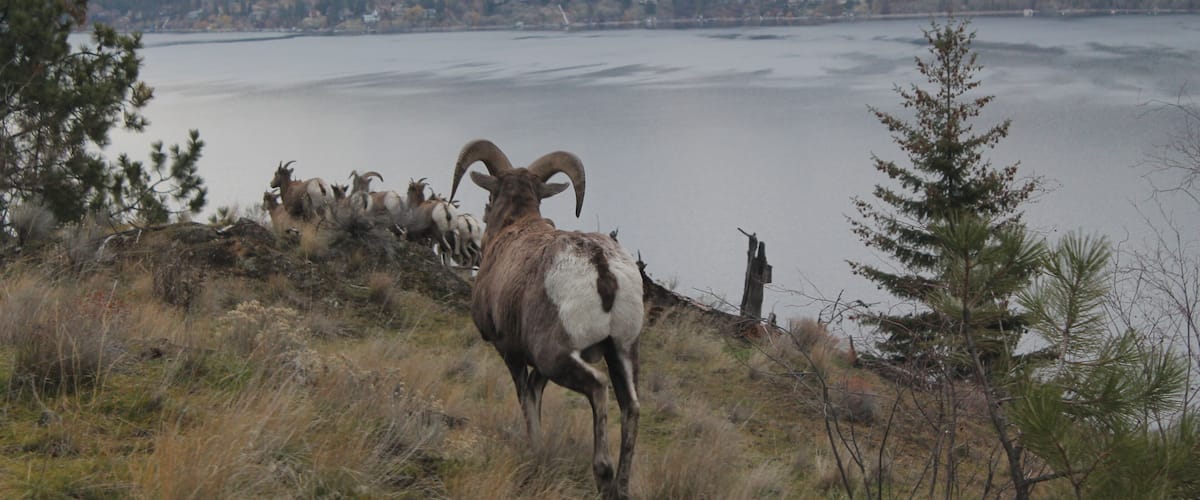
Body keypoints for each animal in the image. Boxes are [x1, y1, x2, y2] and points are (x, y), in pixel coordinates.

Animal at [451, 139, 643, 499]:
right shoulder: (538, 367)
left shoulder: (511, 352)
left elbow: (526, 399)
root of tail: (601, 267)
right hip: (622, 351)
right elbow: (535, 392)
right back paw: (621, 486)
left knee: (598, 387)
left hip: (556, 356)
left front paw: (535, 451)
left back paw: (603, 474)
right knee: (631, 406)